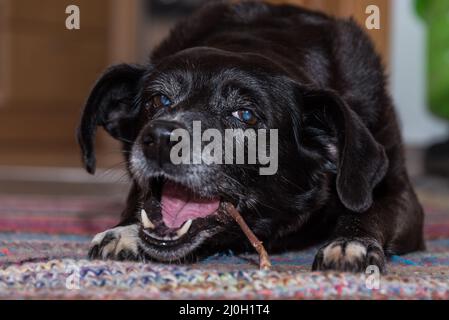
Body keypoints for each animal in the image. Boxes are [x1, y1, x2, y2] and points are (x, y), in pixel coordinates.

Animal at [78, 1, 424, 272]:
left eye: (245, 115)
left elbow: (369, 211)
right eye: (158, 100)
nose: (161, 138)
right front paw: (126, 231)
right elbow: (138, 200)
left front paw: (351, 242)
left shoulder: (399, 194)